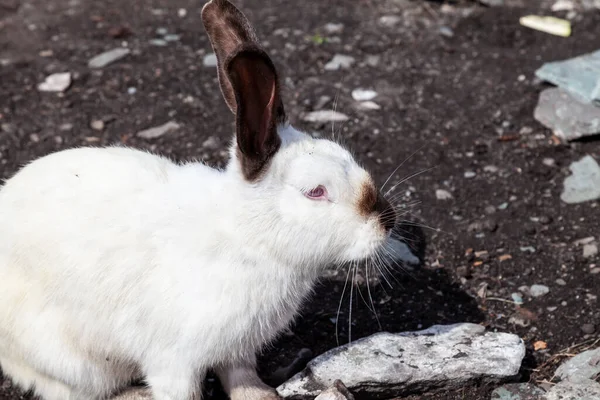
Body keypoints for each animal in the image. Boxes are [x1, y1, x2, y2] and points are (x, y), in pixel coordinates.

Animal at [0, 0, 396, 400]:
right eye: (315, 191)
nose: (387, 220)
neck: (248, 238)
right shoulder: (174, 360)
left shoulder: (236, 351)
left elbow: (240, 376)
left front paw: (261, 395)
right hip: (67, 358)